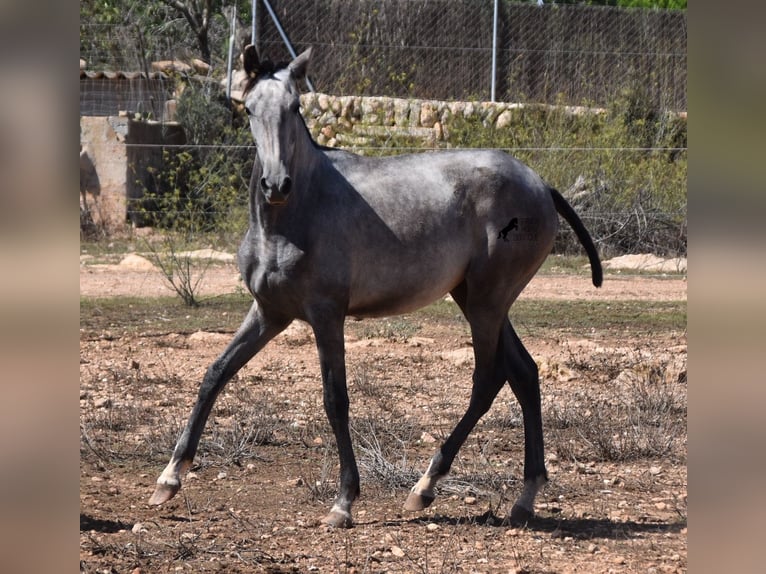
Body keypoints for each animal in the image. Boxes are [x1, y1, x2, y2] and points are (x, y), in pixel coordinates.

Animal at [150, 47, 608, 528]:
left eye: (295, 107)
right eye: (250, 109)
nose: (276, 185)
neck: (290, 218)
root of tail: (541, 185)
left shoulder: (326, 315)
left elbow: (335, 399)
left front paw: (344, 502)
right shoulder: (269, 313)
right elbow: (214, 374)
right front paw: (169, 478)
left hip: (488, 301)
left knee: (488, 379)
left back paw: (425, 487)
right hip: (475, 298)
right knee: (524, 372)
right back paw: (523, 497)